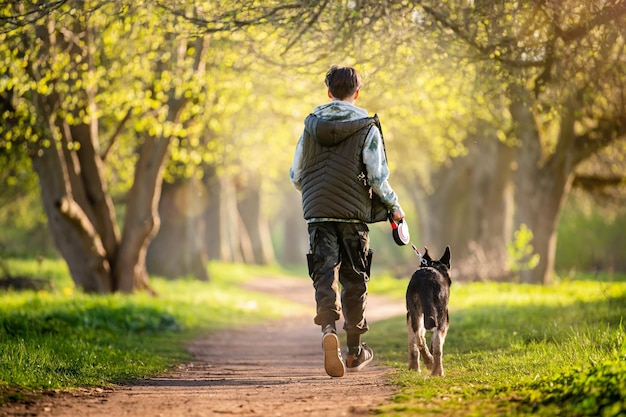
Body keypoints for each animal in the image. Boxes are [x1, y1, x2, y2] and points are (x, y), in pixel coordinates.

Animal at [404, 245, 448, 376]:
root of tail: (426, 280)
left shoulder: (410, 316)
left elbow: (412, 343)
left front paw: (413, 367)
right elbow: (434, 341)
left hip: (416, 314)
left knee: (419, 338)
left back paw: (428, 361)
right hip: (442, 316)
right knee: (438, 344)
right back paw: (437, 370)